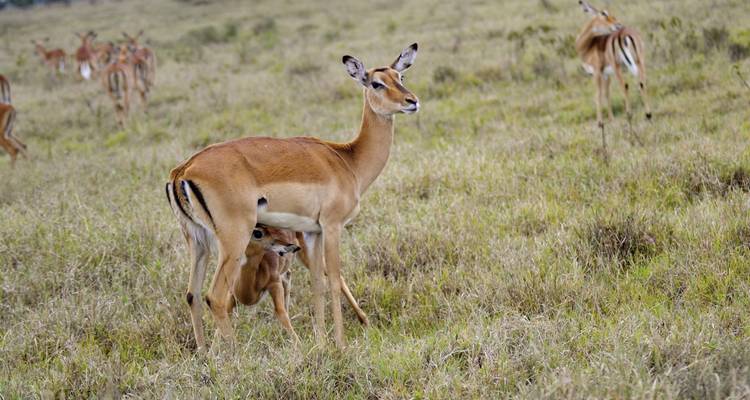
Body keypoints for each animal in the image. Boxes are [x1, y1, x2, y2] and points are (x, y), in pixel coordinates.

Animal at [166, 43, 419, 349]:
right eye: (376, 83)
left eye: (401, 77)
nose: (412, 101)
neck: (347, 160)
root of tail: (183, 170)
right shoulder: (333, 226)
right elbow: (334, 280)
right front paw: (341, 344)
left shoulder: (312, 232)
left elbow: (317, 283)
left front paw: (321, 343)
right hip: (233, 238)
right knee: (215, 297)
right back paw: (233, 356)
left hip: (198, 240)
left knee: (192, 295)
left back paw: (205, 354)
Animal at [576, 1, 652, 152]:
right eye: (603, 13)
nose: (618, 24)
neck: (588, 46)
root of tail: (624, 35)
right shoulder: (607, 74)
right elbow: (607, 94)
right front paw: (611, 119)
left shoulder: (597, 73)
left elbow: (598, 95)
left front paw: (600, 123)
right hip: (640, 61)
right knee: (642, 83)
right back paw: (648, 117)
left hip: (619, 68)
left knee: (625, 87)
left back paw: (630, 124)